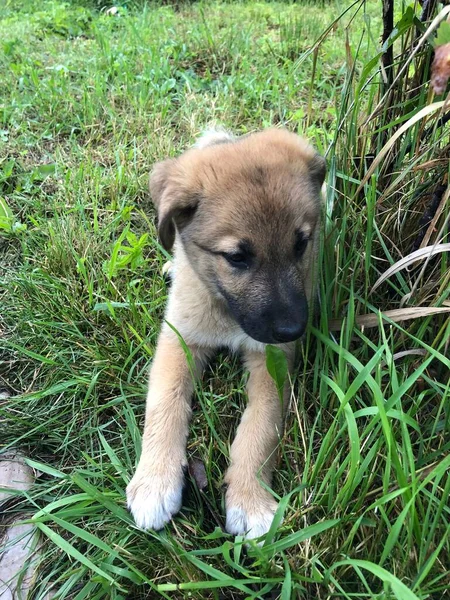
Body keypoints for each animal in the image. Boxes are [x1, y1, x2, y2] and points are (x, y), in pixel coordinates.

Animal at [125, 126, 326, 540]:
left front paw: (249, 498)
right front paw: (155, 481)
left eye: (301, 243)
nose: (294, 329)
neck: (226, 310)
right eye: (236, 257)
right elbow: (164, 404)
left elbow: (262, 425)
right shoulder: (180, 338)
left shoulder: (272, 359)